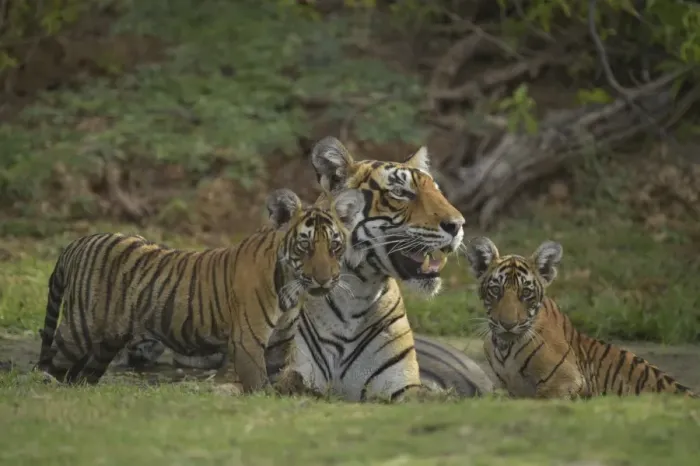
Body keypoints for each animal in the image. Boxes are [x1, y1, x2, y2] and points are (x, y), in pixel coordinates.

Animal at [35, 187, 365, 393]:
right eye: (305, 246)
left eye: (335, 246)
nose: (325, 280)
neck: (290, 290)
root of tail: (78, 242)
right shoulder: (248, 341)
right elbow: (258, 384)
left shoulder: (279, 343)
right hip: (80, 329)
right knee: (52, 359)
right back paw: (43, 389)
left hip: (106, 342)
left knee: (81, 376)